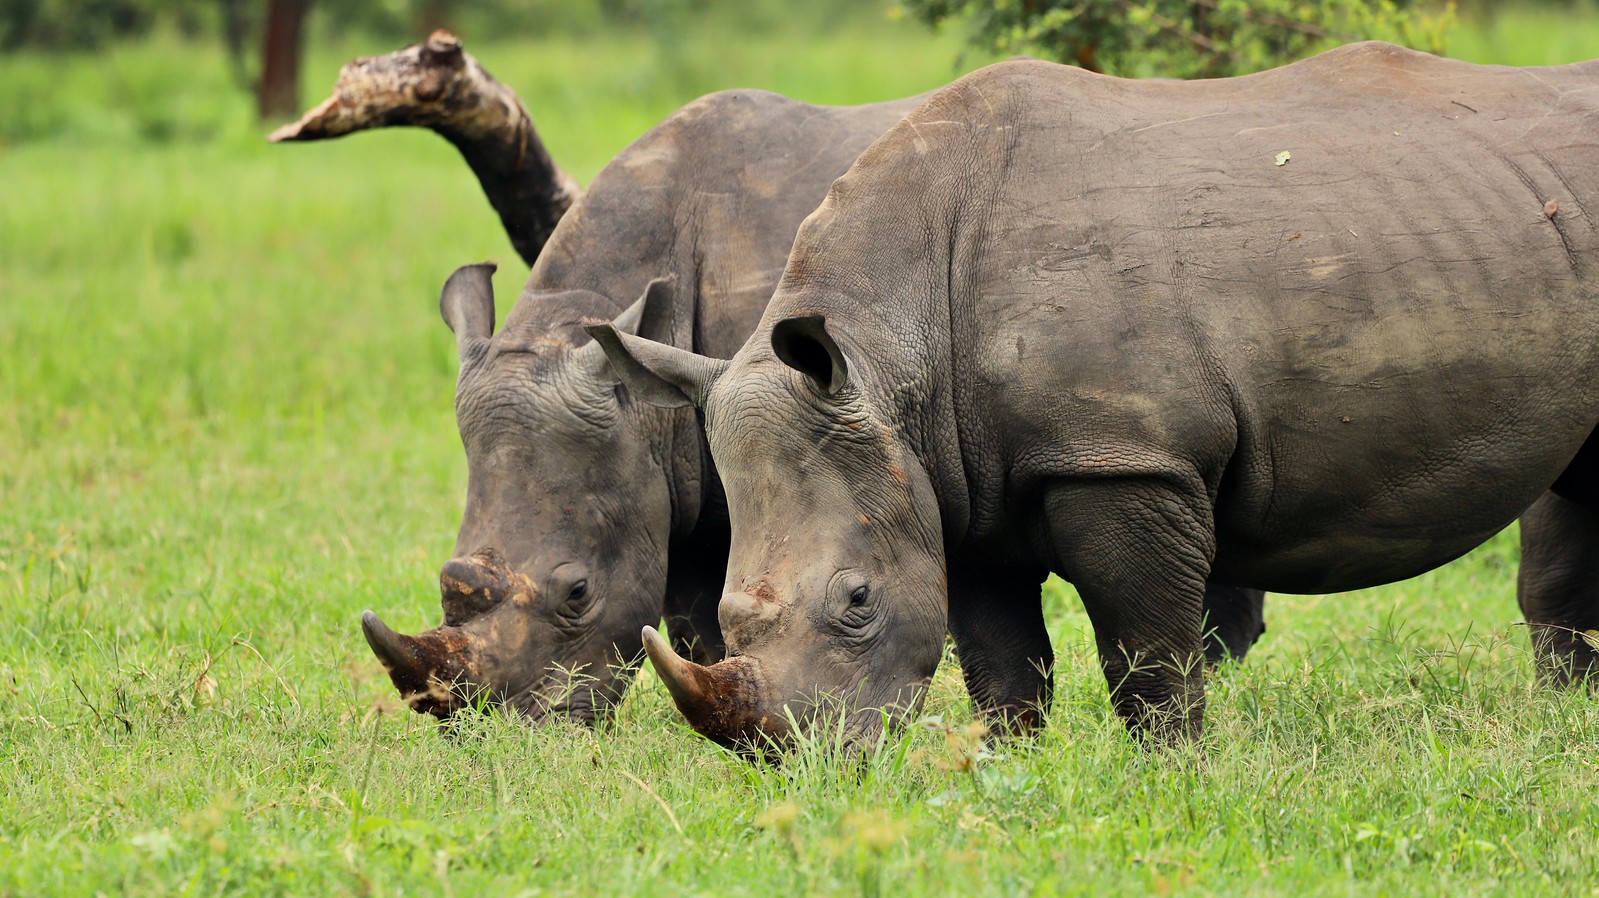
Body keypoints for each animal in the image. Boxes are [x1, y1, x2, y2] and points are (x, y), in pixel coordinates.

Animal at [593, 42, 1599, 746]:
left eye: (856, 601)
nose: (805, 765)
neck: (886, 358)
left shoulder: (1119, 456)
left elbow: (1146, 653)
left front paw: (1175, 776)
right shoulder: (953, 481)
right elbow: (1003, 664)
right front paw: (1008, 770)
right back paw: (1567, 718)